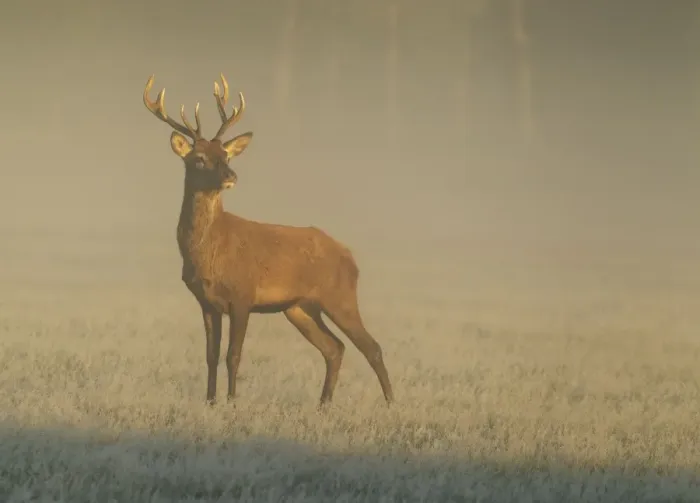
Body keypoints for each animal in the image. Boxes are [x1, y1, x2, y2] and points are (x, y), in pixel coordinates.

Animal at [142, 73, 394, 407]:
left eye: (225, 155)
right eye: (199, 159)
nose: (231, 175)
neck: (209, 252)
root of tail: (349, 256)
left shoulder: (243, 294)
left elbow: (233, 355)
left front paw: (232, 402)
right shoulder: (206, 302)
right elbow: (210, 356)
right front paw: (210, 402)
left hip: (340, 296)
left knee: (371, 346)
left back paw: (390, 404)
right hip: (299, 307)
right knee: (334, 348)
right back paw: (323, 405)